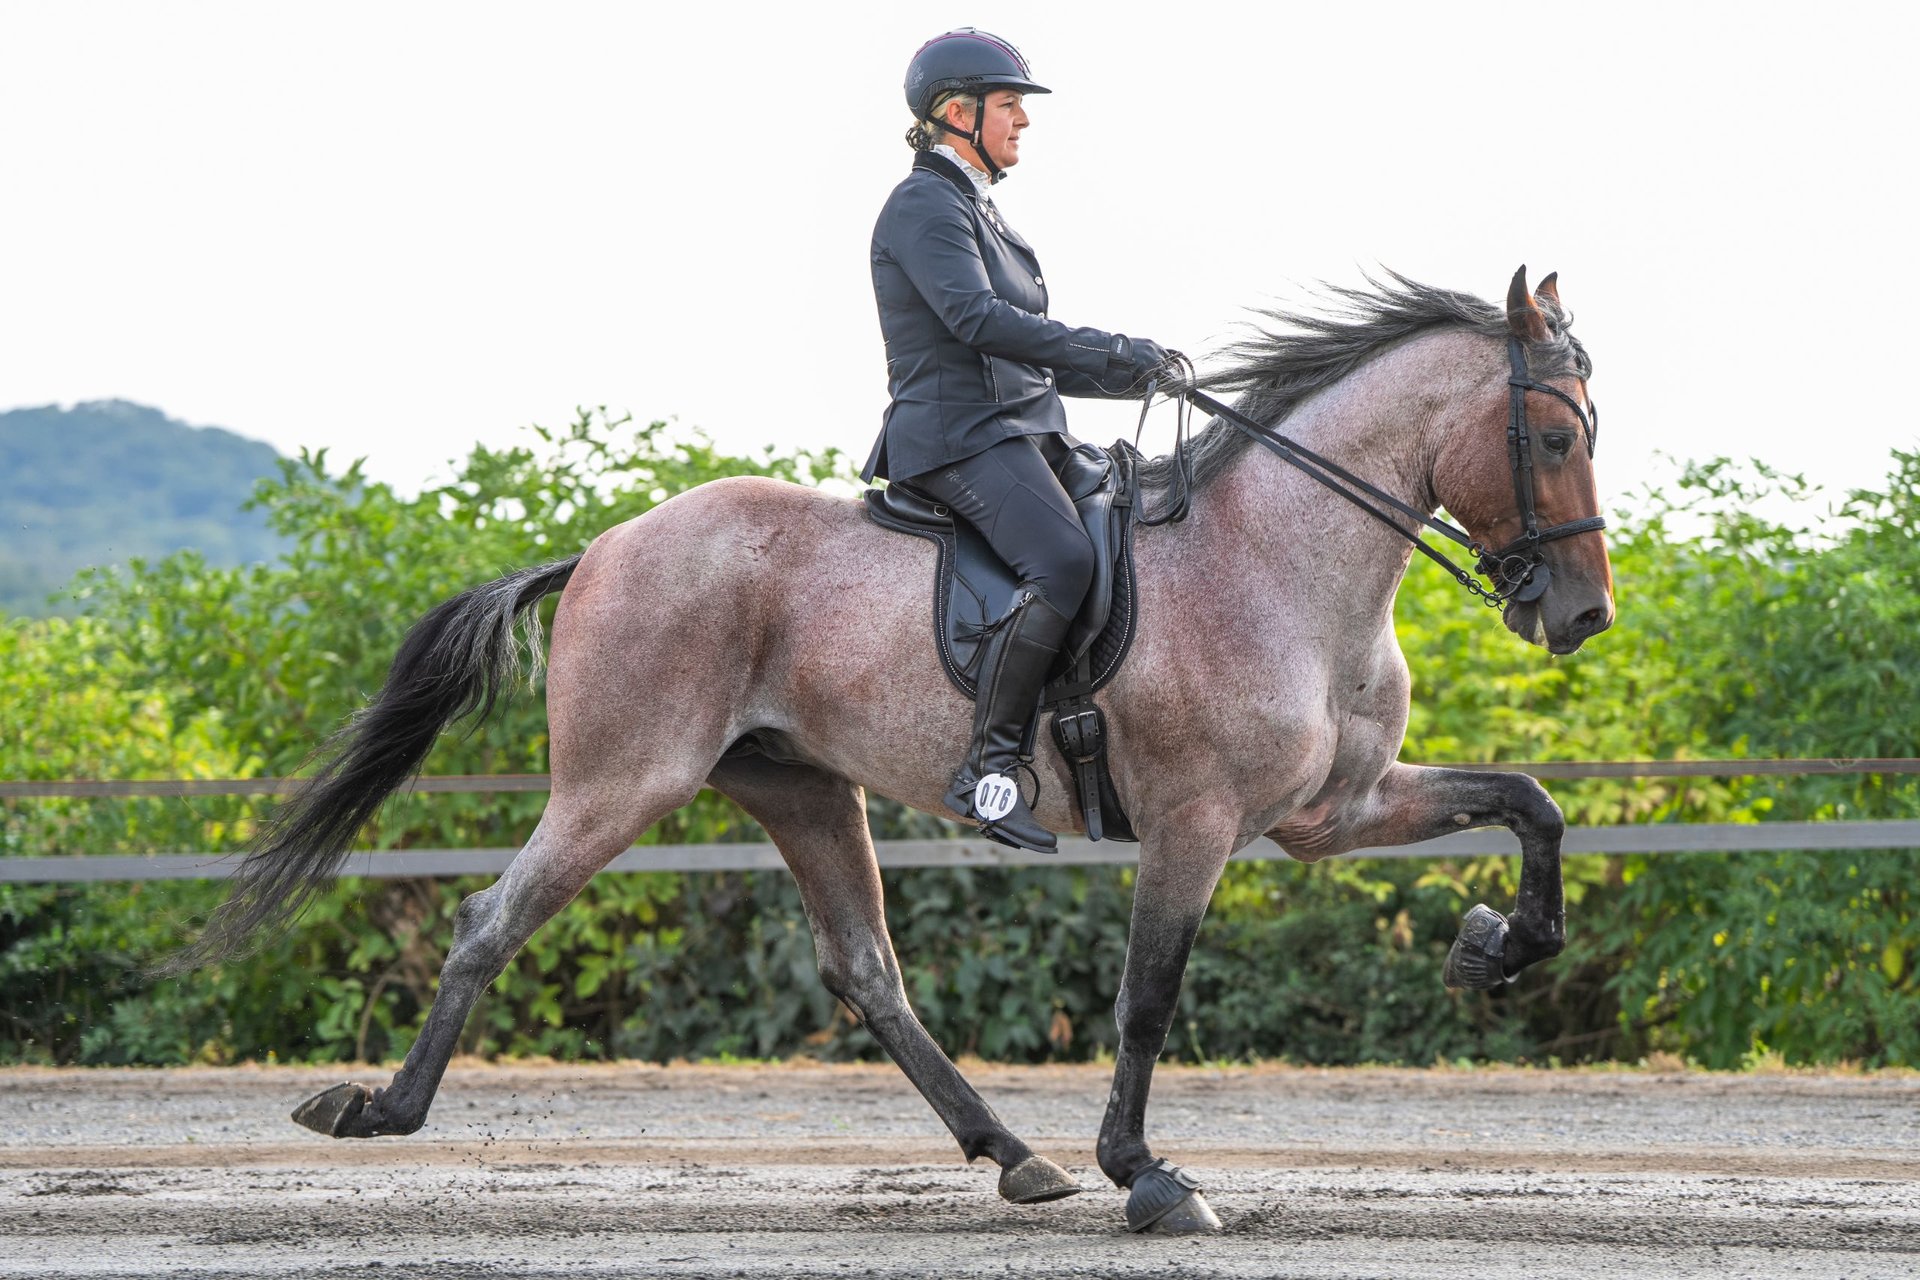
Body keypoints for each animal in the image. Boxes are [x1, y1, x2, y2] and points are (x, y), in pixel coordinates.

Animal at [175, 267, 1612, 1234]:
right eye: (1552, 435)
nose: (1581, 616)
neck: (1280, 559)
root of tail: (604, 547)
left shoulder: (1336, 808)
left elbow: (1532, 802)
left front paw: (1496, 946)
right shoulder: (1198, 825)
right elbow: (1147, 996)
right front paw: (1148, 1177)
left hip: (800, 787)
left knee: (866, 967)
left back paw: (1011, 1151)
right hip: (621, 782)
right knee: (495, 918)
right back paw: (377, 1109)